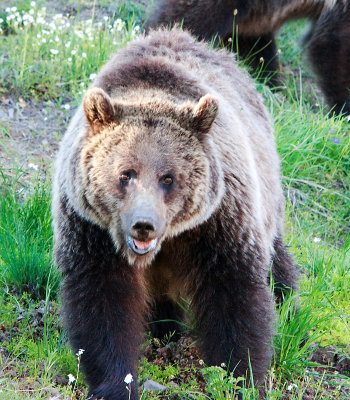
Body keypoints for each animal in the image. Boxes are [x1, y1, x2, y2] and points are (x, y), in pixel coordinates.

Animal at [53, 26, 300, 398]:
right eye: (126, 173)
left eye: (168, 178)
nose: (144, 225)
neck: (171, 238)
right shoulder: (91, 230)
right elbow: (103, 304)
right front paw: (117, 382)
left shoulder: (218, 224)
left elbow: (234, 294)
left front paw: (240, 376)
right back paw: (165, 328)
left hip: (267, 188)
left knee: (276, 255)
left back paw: (288, 297)